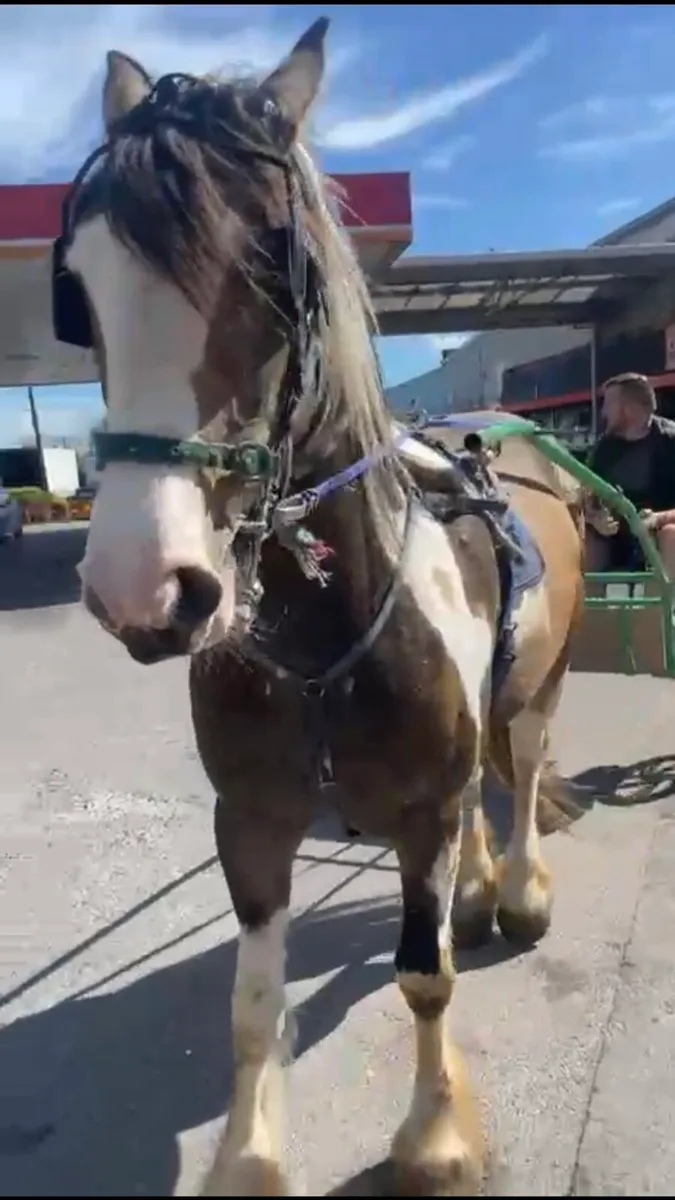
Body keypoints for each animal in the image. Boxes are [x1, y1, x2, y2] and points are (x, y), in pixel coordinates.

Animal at [53, 19, 585, 1195]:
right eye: (81, 287)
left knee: (521, 771)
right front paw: (249, 1158)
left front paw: (433, 1140)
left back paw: (519, 889)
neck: (326, 637)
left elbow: (422, 976)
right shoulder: (251, 817)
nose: (142, 587)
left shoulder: (420, 811)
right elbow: (254, 1006)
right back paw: (479, 891)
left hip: (542, 681)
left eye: (272, 264)